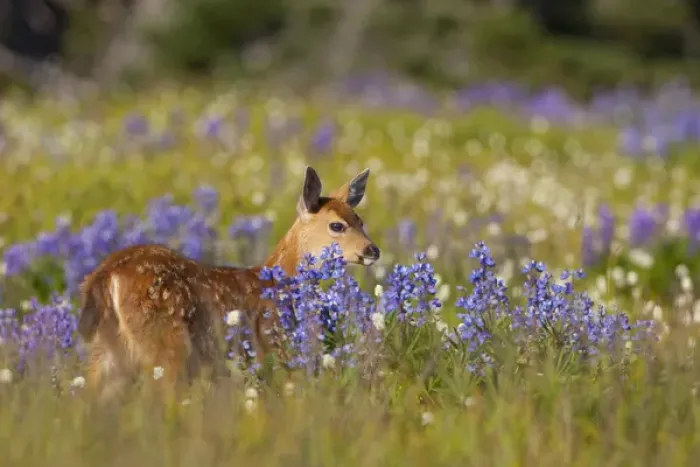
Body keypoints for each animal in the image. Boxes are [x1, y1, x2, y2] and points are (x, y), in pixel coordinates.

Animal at [77, 166, 381, 401]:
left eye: (360, 220)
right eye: (337, 225)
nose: (372, 250)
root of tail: (107, 273)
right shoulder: (274, 345)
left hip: (107, 349)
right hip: (165, 342)